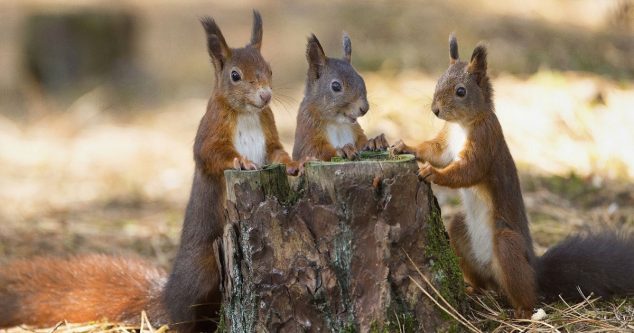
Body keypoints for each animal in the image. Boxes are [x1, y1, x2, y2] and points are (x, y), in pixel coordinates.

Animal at [0, 11, 298, 332]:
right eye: (235, 75)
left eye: (269, 69)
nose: (265, 96)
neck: (247, 114)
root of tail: (167, 297)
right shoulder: (209, 132)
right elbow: (210, 155)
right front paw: (241, 162)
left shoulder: (268, 131)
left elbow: (277, 152)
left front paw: (294, 163)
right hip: (204, 270)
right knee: (186, 318)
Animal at [390, 33, 632, 316]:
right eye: (438, 80)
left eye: (461, 91)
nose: (435, 110)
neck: (462, 125)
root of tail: (535, 271)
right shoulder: (446, 141)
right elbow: (433, 151)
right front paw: (404, 147)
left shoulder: (486, 141)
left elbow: (467, 171)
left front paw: (433, 173)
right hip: (461, 232)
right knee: (481, 276)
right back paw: (473, 290)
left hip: (507, 246)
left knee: (526, 293)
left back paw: (523, 313)